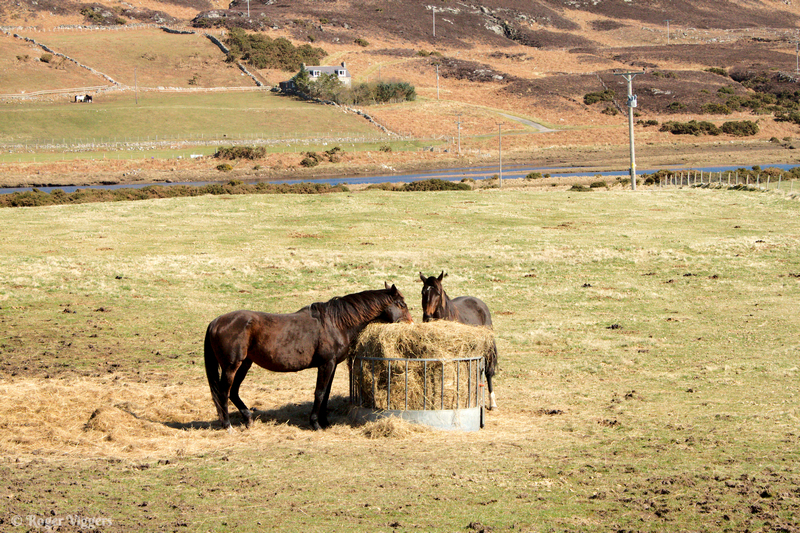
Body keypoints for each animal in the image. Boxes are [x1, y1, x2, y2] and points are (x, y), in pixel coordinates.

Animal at [204, 283, 412, 431]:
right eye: (402, 304)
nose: (411, 323)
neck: (335, 323)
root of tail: (216, 322)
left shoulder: (332, 365)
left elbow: (326, 393)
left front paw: (325, 421)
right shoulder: (326, 364)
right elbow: (319, 392)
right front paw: (315, 423)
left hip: (245, 364)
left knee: (233, 392)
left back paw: (248, 419)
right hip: (231, 366)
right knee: (223, 392)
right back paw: (227, 425)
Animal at [419, 271, 498, 410]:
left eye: (438, 293)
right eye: (423, 292)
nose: (427, 316)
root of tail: (481, 304)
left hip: (488, 348)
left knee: (488, 372)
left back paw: (492, 403)